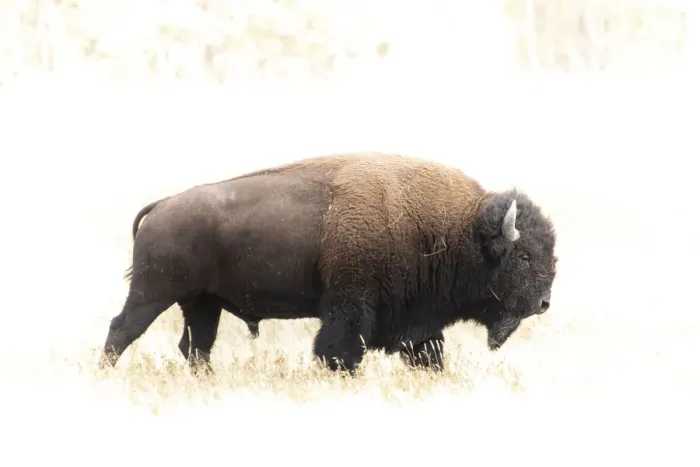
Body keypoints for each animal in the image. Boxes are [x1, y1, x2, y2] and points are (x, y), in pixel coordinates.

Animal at [99, 152, 558, 374]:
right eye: (523, 255)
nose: (544, 304)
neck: (455, 226)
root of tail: (162, 205)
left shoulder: (418, 323)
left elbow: (428, 354)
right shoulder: (350, 305)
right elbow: (339, 351)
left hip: (201, 303)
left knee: (196, 346)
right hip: (152, 293)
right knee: (122, 330)